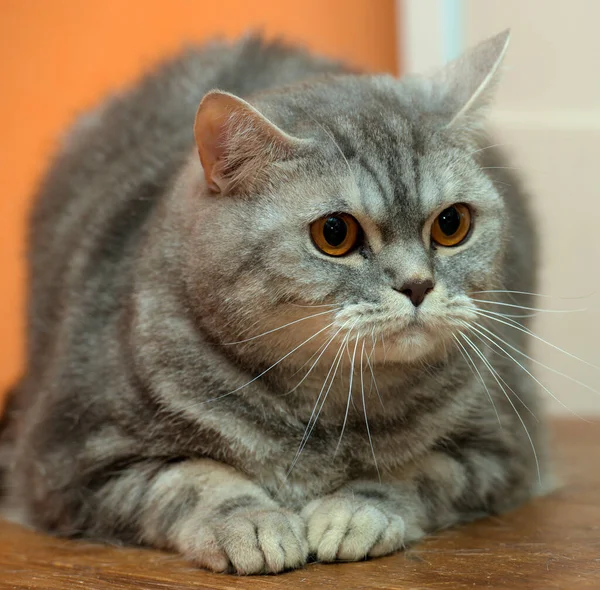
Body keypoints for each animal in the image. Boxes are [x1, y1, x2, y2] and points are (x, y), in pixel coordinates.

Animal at [0, 30, 548, 576]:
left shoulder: (501, 450)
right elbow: (191, 479)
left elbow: (412, 472)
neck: (325, 406)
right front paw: (250, 523)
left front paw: (355, 512)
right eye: (334, 233)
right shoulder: (69, 462)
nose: (417, 285)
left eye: (452, 224)